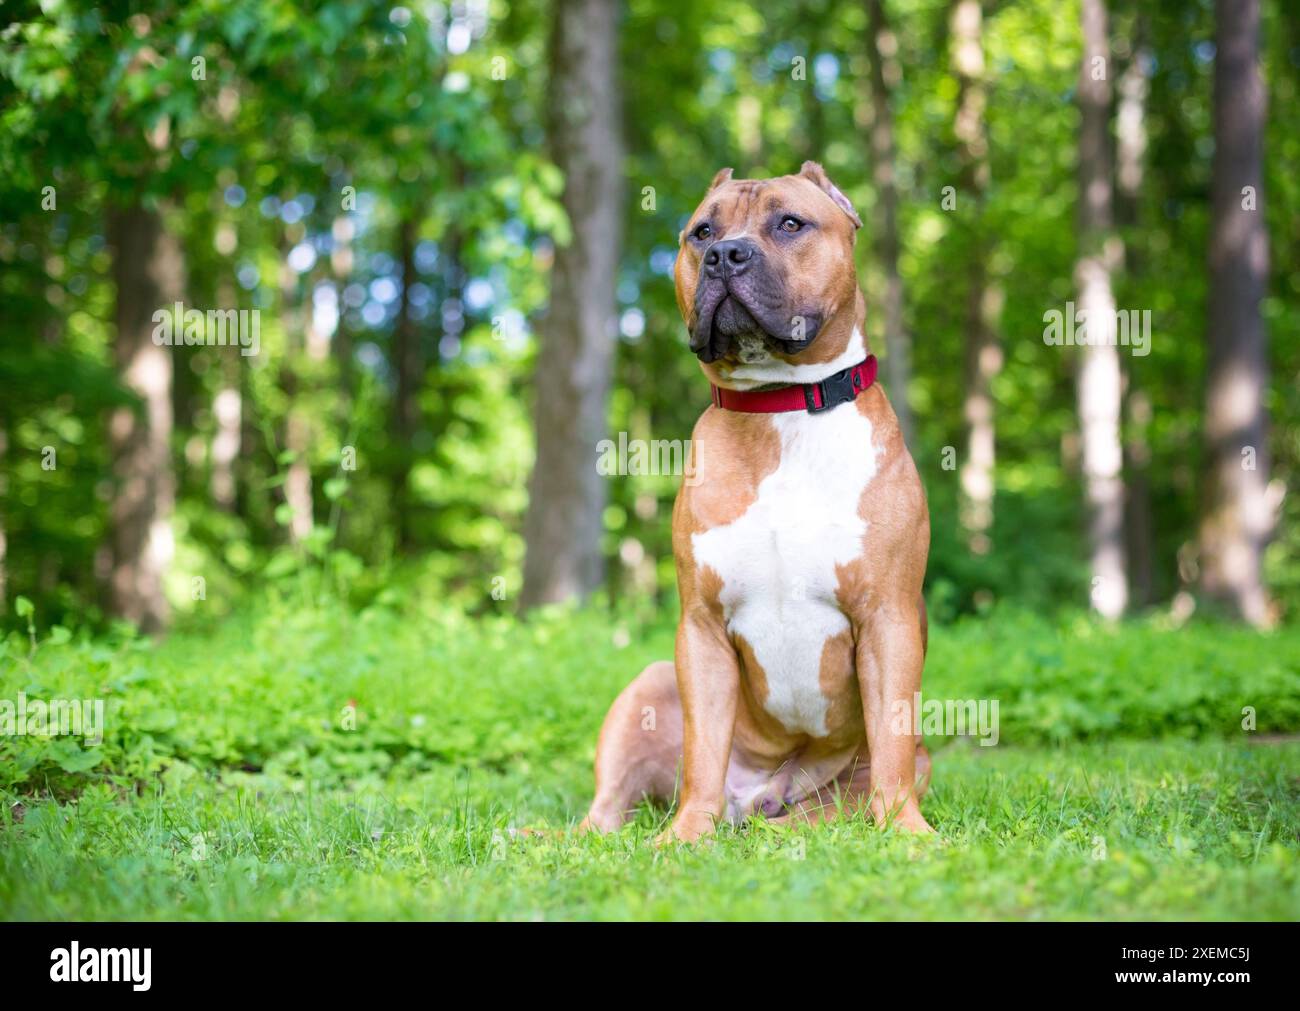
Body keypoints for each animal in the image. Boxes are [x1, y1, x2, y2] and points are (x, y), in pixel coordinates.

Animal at [585, 161, 930, 836]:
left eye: (790, 224)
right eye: (702, 232)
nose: (725, 254)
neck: (781, 407)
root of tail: (757, 801)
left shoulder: (889, 619)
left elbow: (892, 748)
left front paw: (908, 833)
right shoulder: (701, 628)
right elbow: (703, 751)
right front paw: (685, 837)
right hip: (648, 688)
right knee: (607, 813)